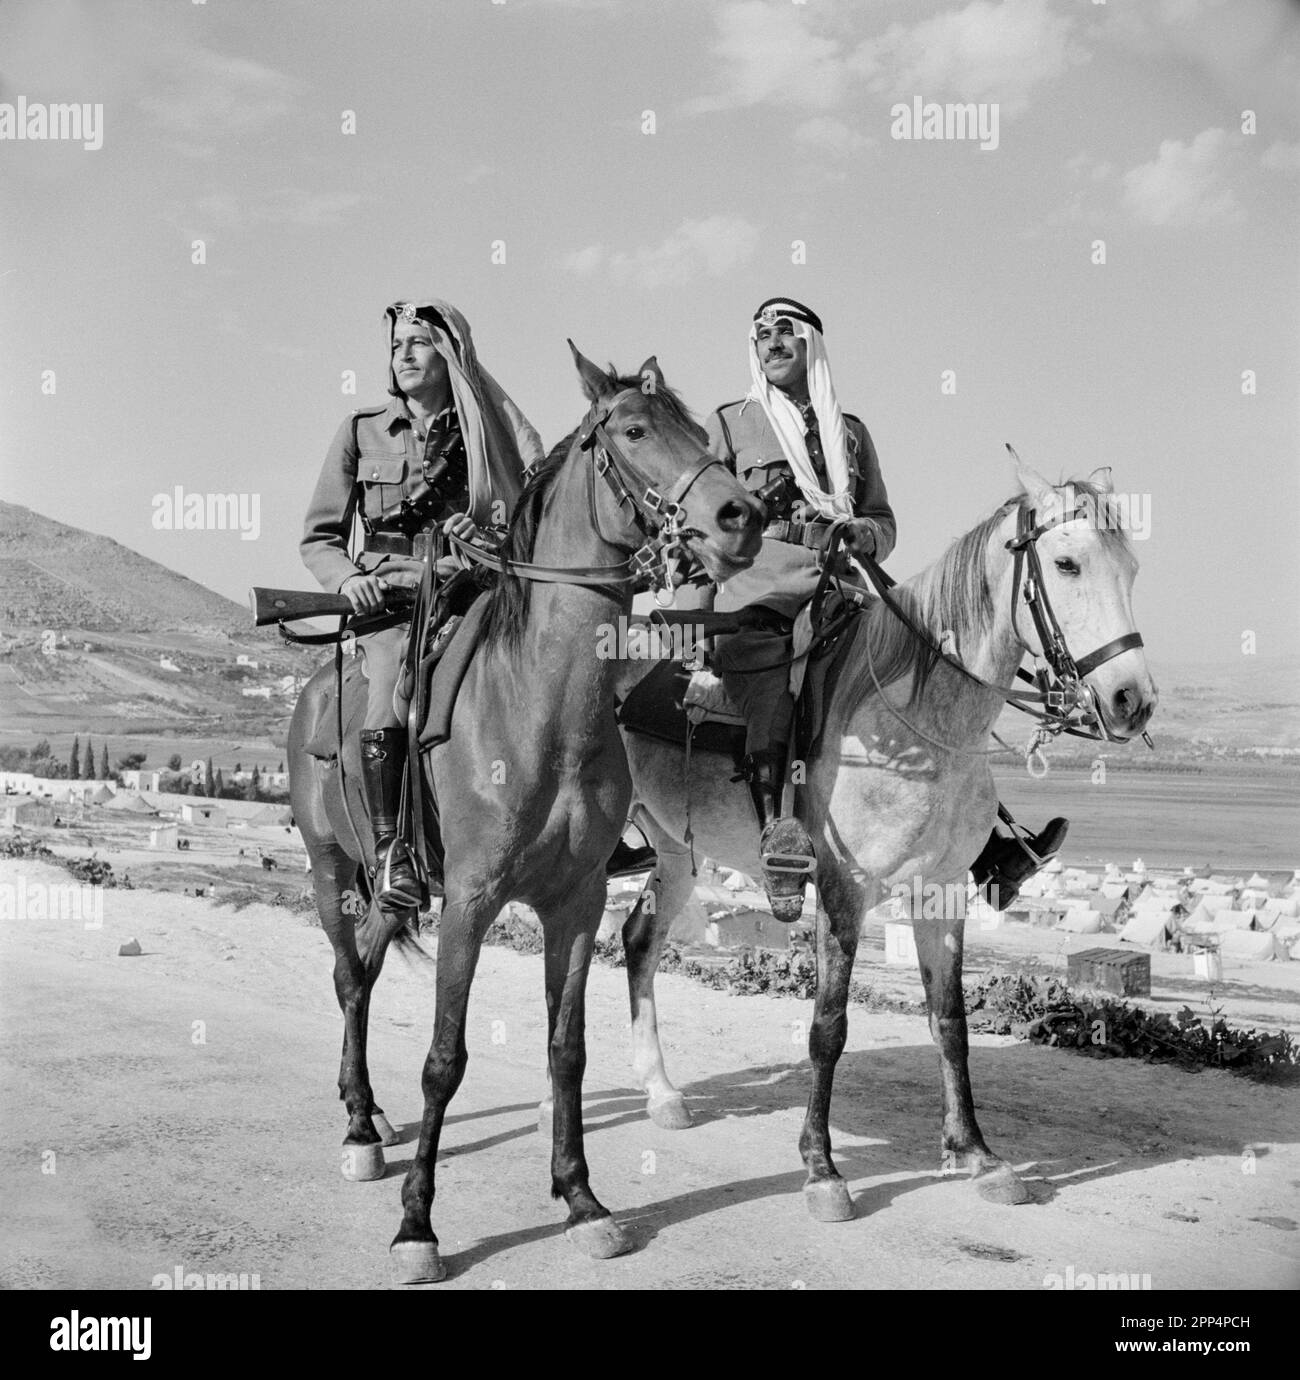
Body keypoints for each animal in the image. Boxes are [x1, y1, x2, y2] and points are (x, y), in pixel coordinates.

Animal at [289, 345, 767, 1280]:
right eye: (633, 431)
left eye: (702, 432)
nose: (742, 515)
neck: (542, 706)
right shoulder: (471, 904)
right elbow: (444, 1060)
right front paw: (418, 1226)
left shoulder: (574, 903)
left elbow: (566, 1052)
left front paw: (582, 1200)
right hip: (332, 868)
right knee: (345, 974)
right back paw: (361, 1128)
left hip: (393, 887)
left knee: (363, 971)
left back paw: (368, 1114)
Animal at [612, 460, 1159, 1219]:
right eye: (1067, 563)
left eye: (1131, 569)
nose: (1132, 700)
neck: (919, 723)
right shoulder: (843, 890)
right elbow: (829, 1025)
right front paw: (821, 1168)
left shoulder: (942, 891)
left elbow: (950, 1020)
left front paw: (975, 1154)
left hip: (674, 850)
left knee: (639, 938)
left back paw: (661, 1092)